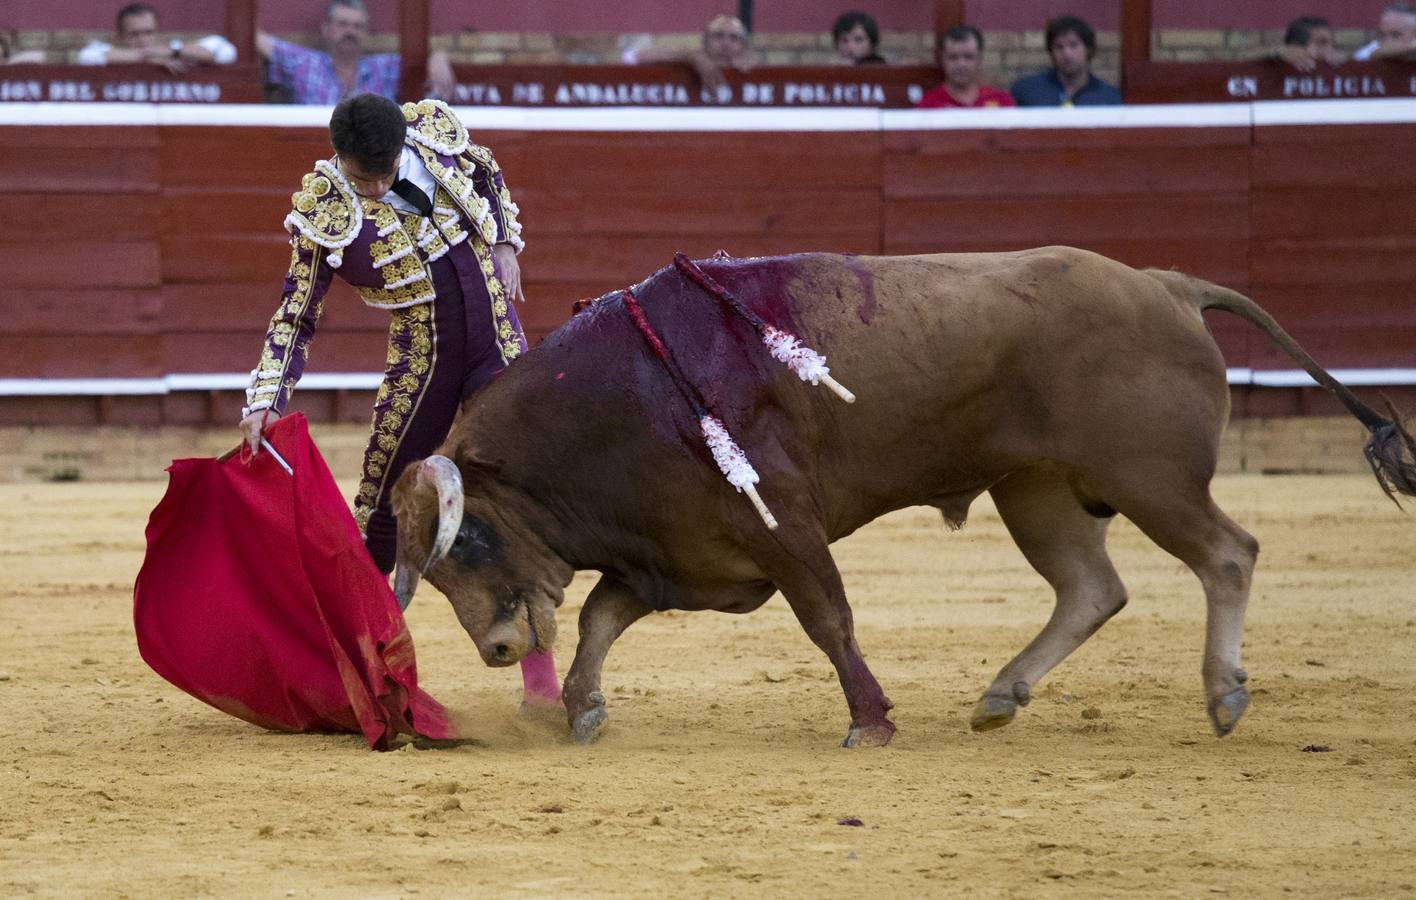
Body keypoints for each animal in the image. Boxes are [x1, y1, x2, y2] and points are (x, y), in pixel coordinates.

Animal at [387, 246, 1416, 747]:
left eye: (467, 541)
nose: (497, 649)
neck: (619, 401)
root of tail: (1168, 284)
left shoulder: (784, 531)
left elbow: (828, 621)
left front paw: (871, 722)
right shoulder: (682, 554)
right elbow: (603, 616)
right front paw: (584, 710)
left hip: (1152, 479)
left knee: (1227, 553)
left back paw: (1224, 696)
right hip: (1037, 493)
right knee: (1092, 589)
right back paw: (1001, 696)